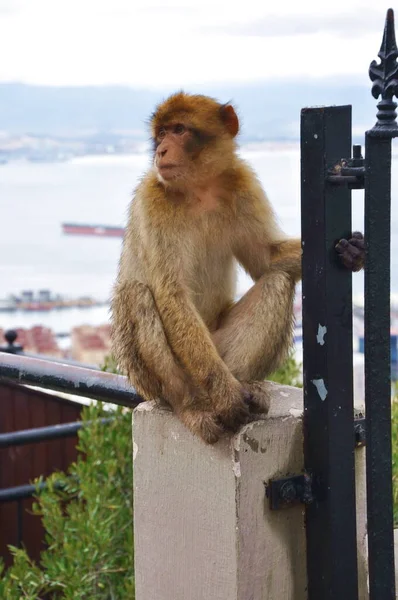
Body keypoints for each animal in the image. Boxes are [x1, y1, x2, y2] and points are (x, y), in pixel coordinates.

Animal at [110, 91, 366, 442]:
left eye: (178, 130)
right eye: (161, 134)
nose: (161, 150)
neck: (199, 189)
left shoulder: (243, 184)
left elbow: (266, 260)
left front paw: (351, 253)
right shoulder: (153, 199)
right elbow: (171, 294)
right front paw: (226, 396)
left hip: (218, 347)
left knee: (277, 280)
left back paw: (245, 389)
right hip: (169, 371)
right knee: (136, 294)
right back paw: (193, 404)